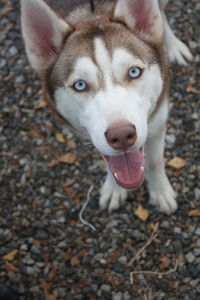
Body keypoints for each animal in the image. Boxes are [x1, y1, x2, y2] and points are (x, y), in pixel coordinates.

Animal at [20, 1, 192, 214]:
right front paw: (115, 188)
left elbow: (154, 161)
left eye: (134, 72)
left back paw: (173, 45)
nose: (121, 136)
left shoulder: (158, 121)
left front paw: (160, 192)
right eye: (80, 85)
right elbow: (110, 162)